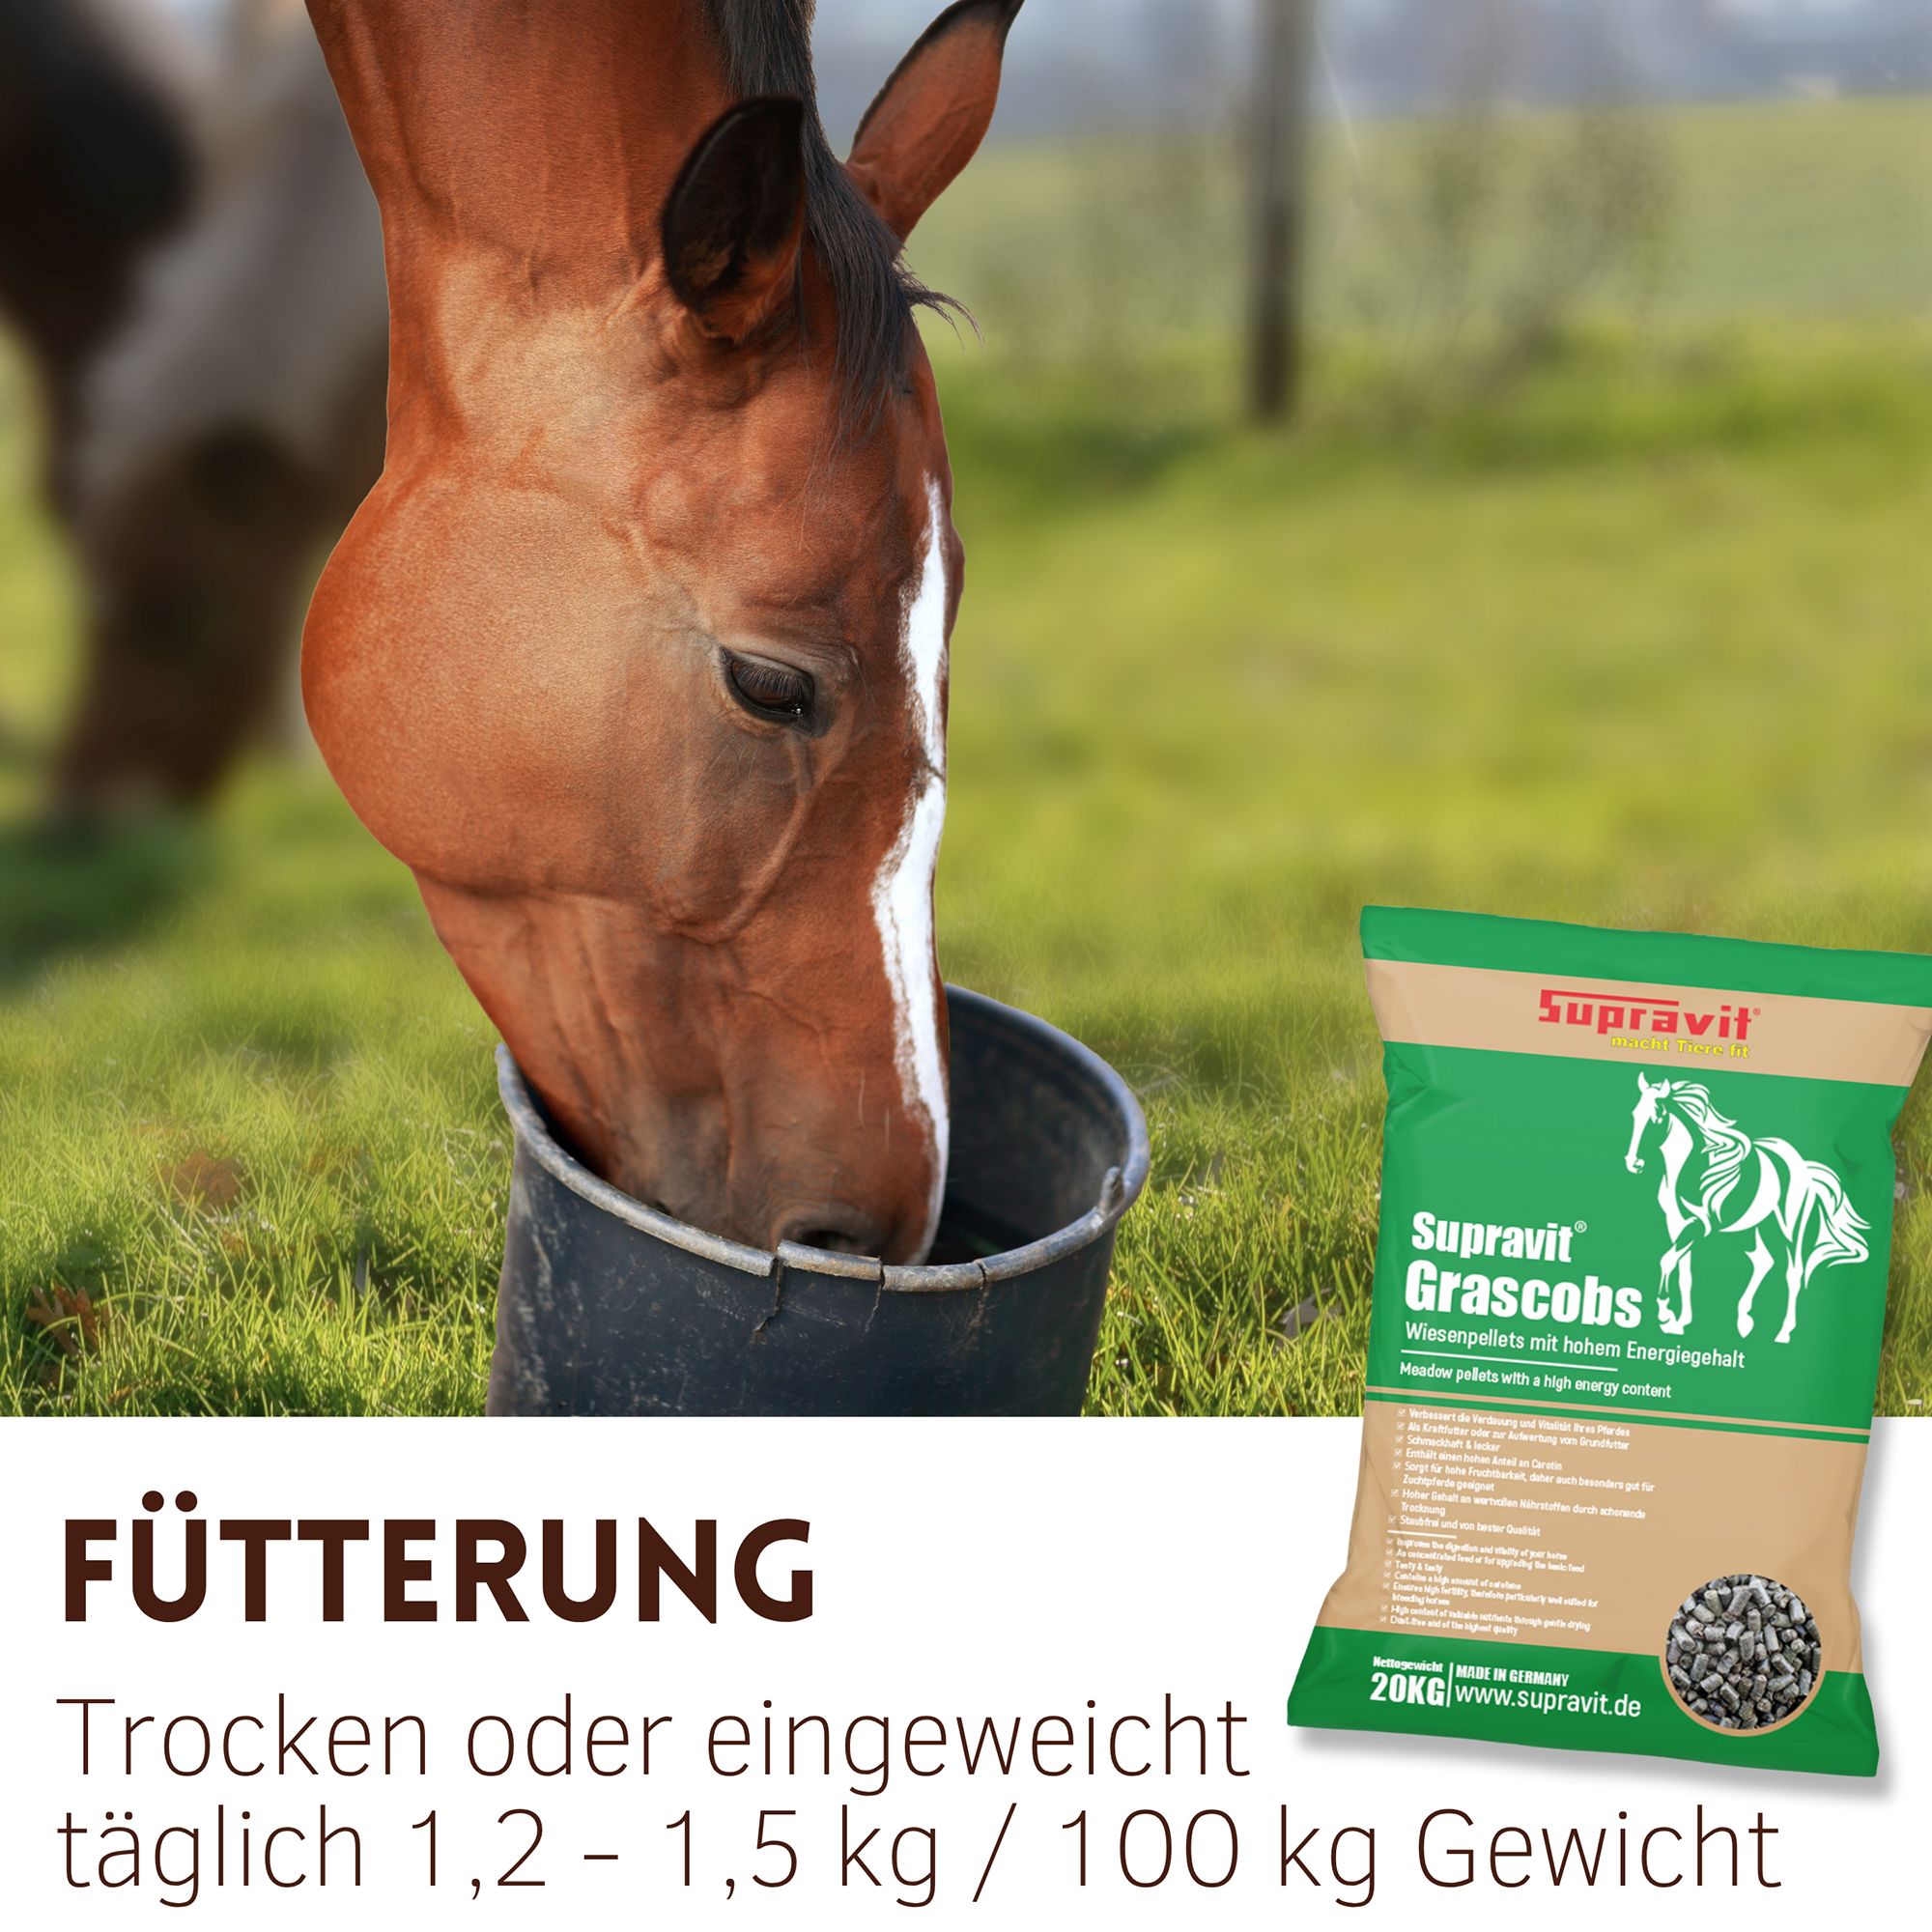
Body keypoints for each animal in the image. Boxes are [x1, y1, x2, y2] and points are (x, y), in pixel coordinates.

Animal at [1623, 1074, 1870, 1345]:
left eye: (1657, 1116)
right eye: (1634, 1114)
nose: (1633, 1163)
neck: (1687, 1169)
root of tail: (1804, 1167)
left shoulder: (1700, 1225)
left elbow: (1667, 1260)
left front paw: (1665, 1315)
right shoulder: (1675, 1223)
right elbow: (1683, 1273)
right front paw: (1680, 1322)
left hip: (1789, 1228)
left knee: (1793, 1272)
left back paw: (1783, 1333)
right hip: (1758, 1225)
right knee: (1763, 1260)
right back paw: (1744, 1321)